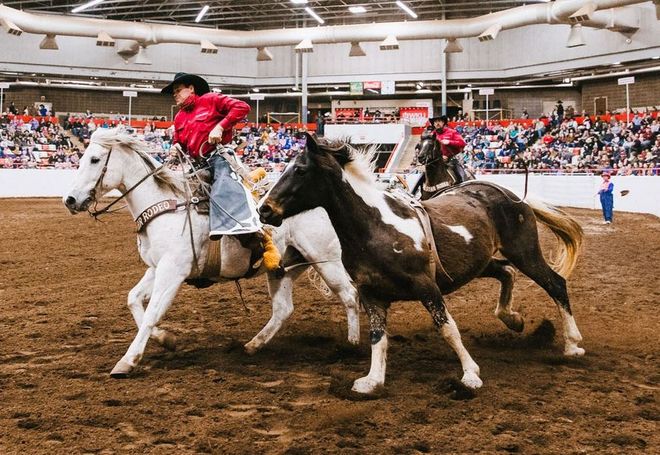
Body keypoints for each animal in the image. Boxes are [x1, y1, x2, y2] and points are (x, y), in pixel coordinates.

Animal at [64, 127, 358, 378]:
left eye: (94, 159)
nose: (70, 200)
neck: (167, 206)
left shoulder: (173, 272)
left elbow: (152, 312)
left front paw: (128, 360)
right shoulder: (157, 269)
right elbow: (133, 300)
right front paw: (166, 339)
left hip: (327, 261)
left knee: (350, 296)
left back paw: (352, 345)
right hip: (284, 267)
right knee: (283, 309)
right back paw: (253, 345)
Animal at [260, 134, 584, 396]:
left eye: (300, 170)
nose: (265, 209)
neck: (374, 226)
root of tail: (511, 195)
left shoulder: (426, 286)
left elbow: (447, 328)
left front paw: (470, 375)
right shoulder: (371, 294)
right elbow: (378, 338)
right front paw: (372, 380)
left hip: (525, 252)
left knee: (555, 284)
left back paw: (572, 344)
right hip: (481, 263)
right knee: (506, 272)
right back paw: (511, 318)